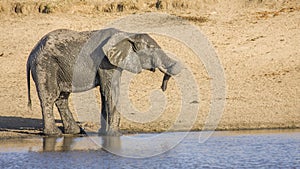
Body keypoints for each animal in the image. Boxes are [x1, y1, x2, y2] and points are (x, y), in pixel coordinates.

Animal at [27, 28, 182, 136]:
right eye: (151, 49)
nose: (162, 88)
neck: (127, 35)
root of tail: (32, 53)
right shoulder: (106, 62)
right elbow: (111, 91)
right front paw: (115, 135)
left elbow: (104, 93)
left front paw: (104, 134)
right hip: (45, 65)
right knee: (50, 97)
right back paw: (54, 134)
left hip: (60, 69)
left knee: (62, 98)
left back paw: (75, 132)